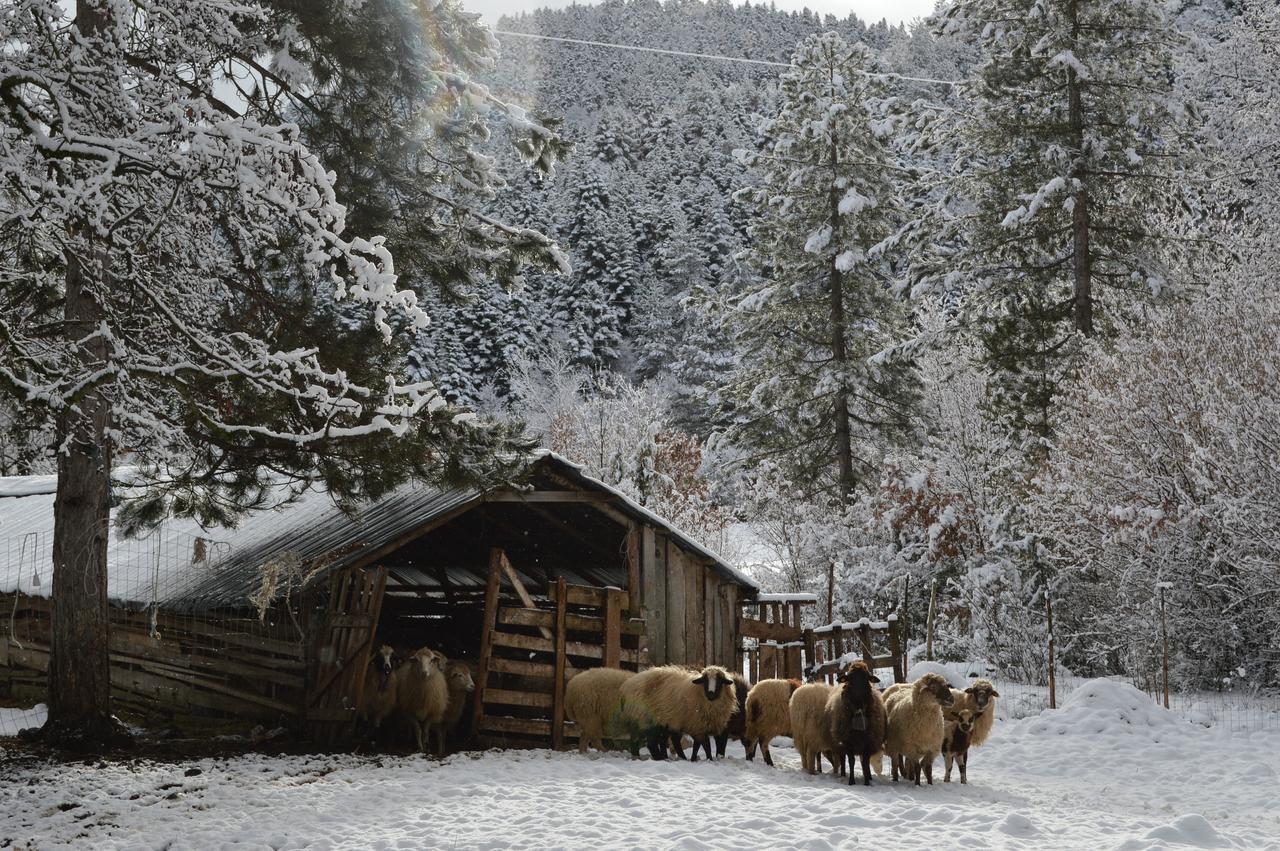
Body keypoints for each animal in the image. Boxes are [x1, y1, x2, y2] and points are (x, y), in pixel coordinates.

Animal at [824, 660, 885, 788]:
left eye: (867, 678)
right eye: (850, 679)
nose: (858, 701)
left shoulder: (868, 742)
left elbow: (865, 762)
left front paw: (867, 782)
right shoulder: (847, 742)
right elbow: (851, 761)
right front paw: (851, 781)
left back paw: (869, 776)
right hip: (839, 743)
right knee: (842, 759)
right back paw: (843, 774)